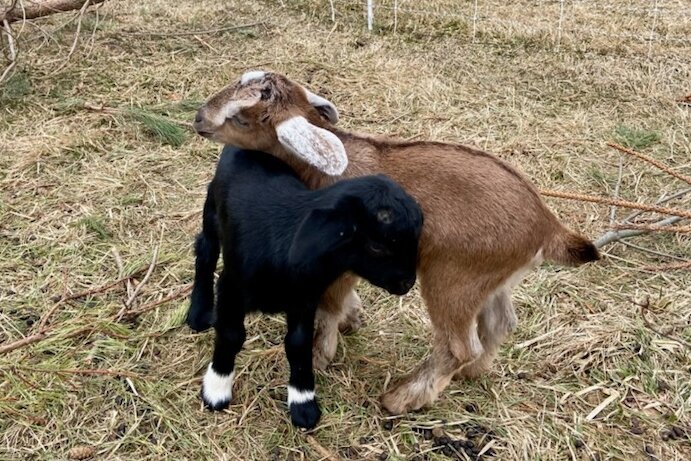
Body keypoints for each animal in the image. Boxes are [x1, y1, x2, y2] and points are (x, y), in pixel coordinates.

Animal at [187, 145, 423, 428]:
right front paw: (216, 389)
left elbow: (299, 344)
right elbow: (232, 335)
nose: (407, 283)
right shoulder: (231, 288)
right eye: (377, 246)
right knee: (205, 249)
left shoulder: (304, 300)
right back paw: (198, 312)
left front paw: (303, 401)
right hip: (212, 207)